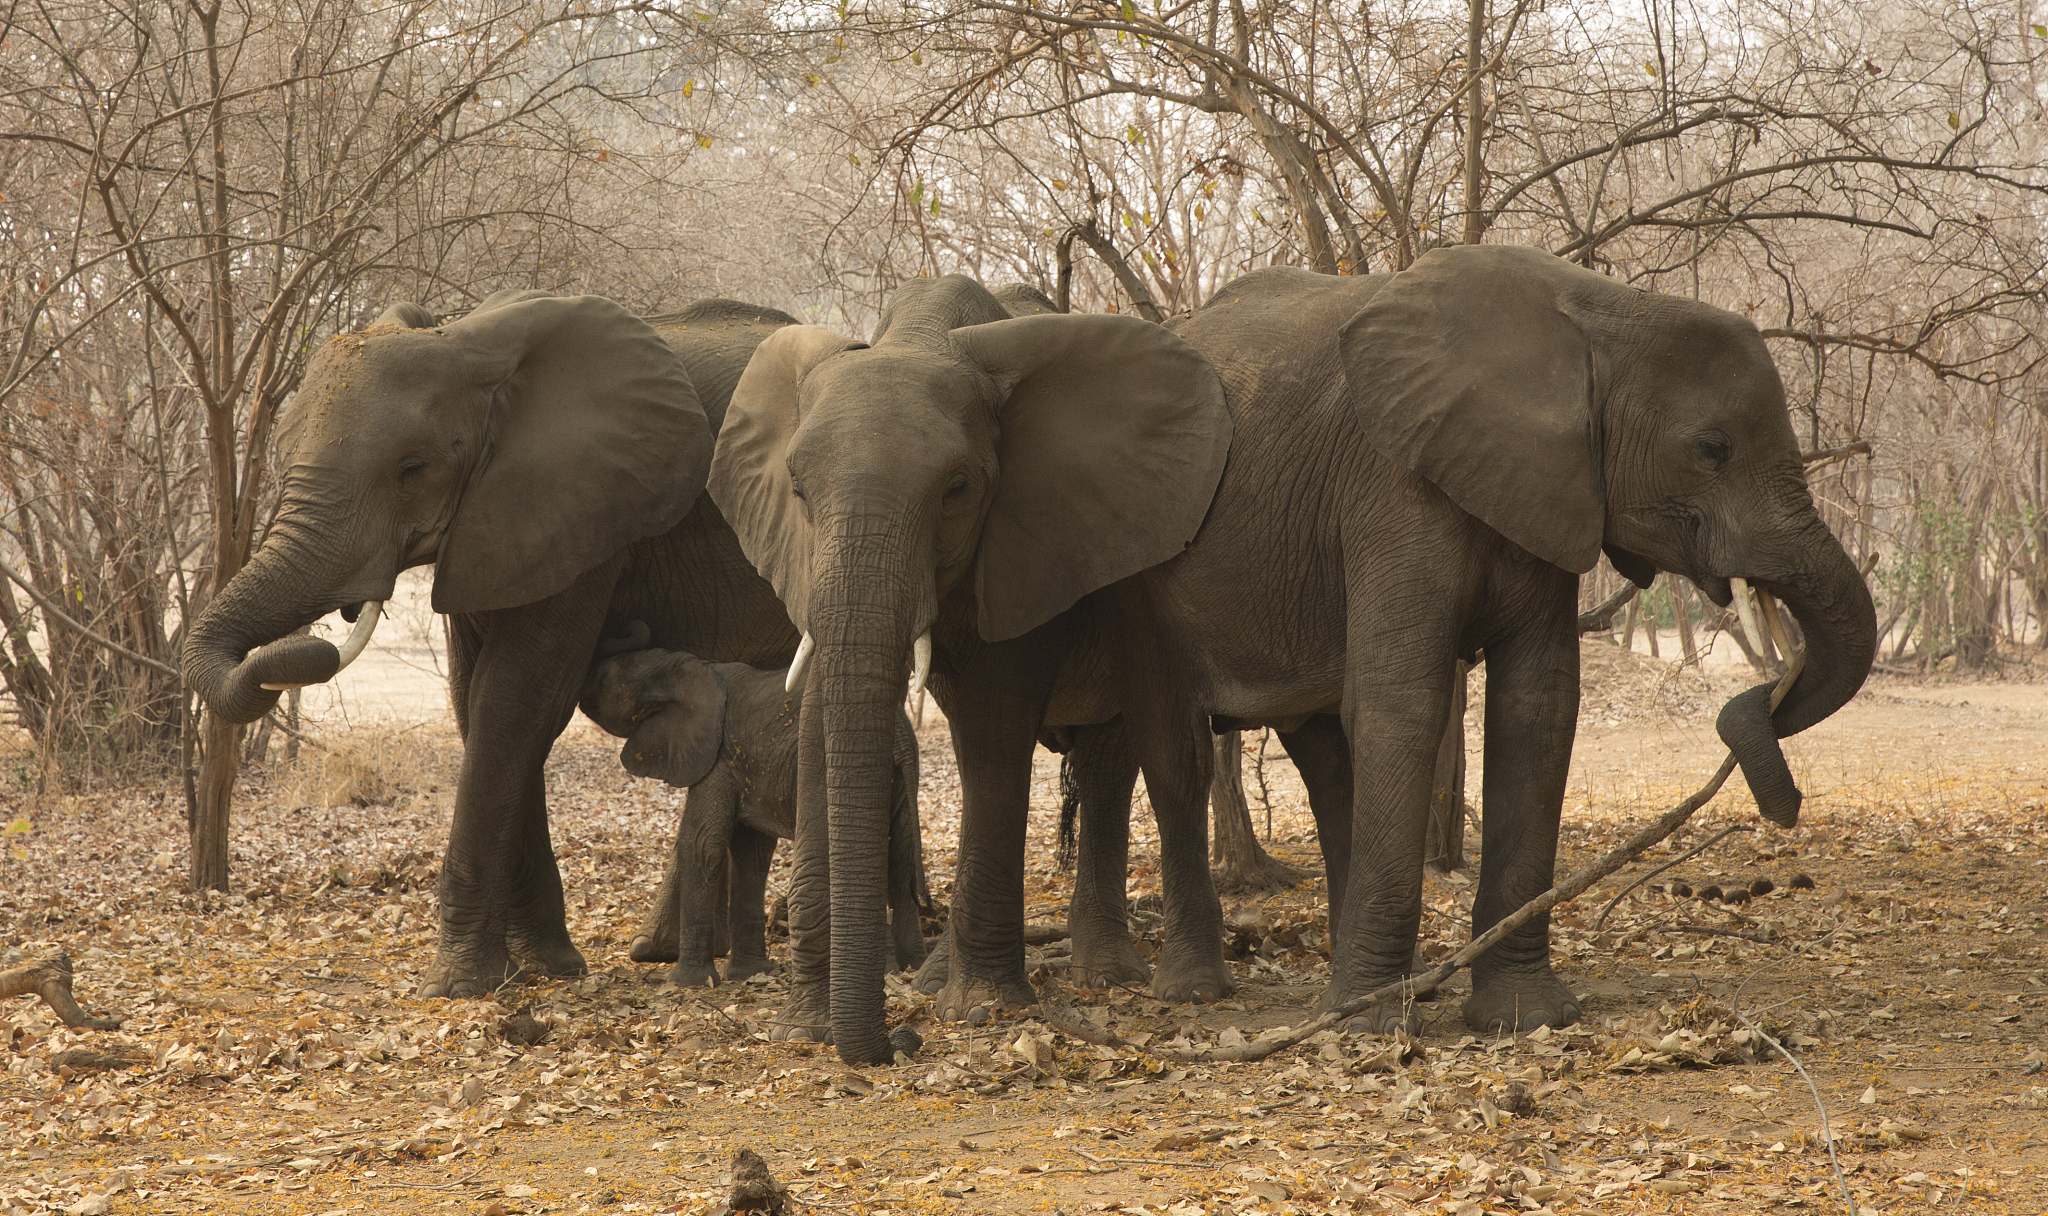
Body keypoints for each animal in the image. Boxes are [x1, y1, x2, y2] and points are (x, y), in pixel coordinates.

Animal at [181, 292, 805, 998]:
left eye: (413, 469)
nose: (307, 650)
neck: (469, 349)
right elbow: (477, 700)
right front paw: (543, 968)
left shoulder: (583, 511)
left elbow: (517, 698)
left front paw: (459, 987)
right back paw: (661, 951)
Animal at [577, 640, 928, 987]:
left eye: (605, 679)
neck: (685, 666)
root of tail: (900, 736)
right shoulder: (748, 764)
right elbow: (752, 854)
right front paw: (749, 974)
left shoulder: (716, 754)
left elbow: (703, 845)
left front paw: (686, 984)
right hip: (899, 780)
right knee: (901, 860)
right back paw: (908, 968)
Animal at [709, 245, 1875, 1062]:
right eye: (1710, 450)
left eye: (957, 487)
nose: (1765, 753)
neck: (1595, 312)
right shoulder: (1397, 485)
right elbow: (1405, 698)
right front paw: (1370, 1026)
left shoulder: (1537, 492)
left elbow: (1540, 707)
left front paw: (1522, 1019)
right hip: (1148, 575)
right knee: (1169, 748)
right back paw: (1189, 992)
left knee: (1299, 750)